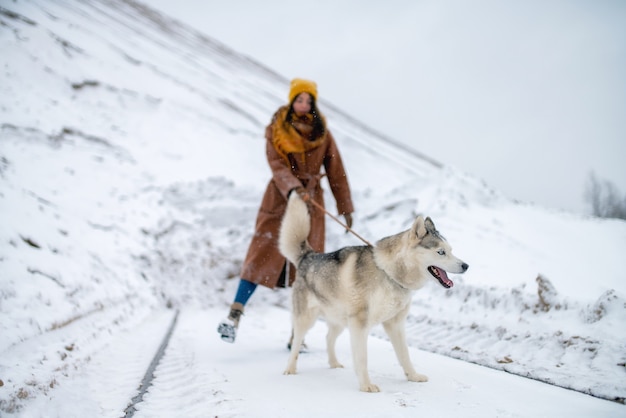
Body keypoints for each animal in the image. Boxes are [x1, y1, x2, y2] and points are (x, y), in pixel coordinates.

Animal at [280, 193, 466, 392]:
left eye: (451, 251)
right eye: (441, 252)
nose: (466, 265)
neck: (388, 273)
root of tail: (308, 256)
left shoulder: (395, 324)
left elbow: (404, 355)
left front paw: (413, 376)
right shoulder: (360, 324)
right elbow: (362, 358)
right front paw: (366, 385)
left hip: (340, 320)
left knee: (328, 337)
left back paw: (334, 363)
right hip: (306, 319)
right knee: (296, 343)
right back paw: (290, 369)